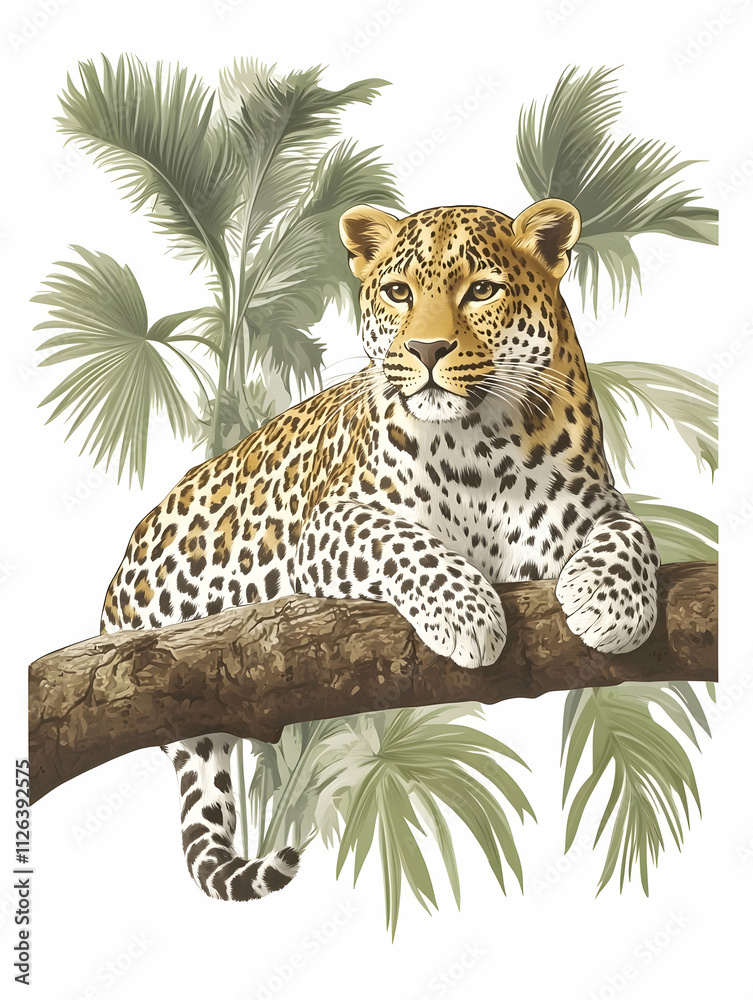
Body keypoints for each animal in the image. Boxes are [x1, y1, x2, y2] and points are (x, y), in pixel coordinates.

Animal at [101, 197, 659, 902]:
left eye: (482, 291)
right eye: (399, 293)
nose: (426, 349)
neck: (483, 444)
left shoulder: (590, 504)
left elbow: (633, 533)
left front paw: (612, 605)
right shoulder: (334, 521)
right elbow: (408, 543)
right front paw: (469, 618)